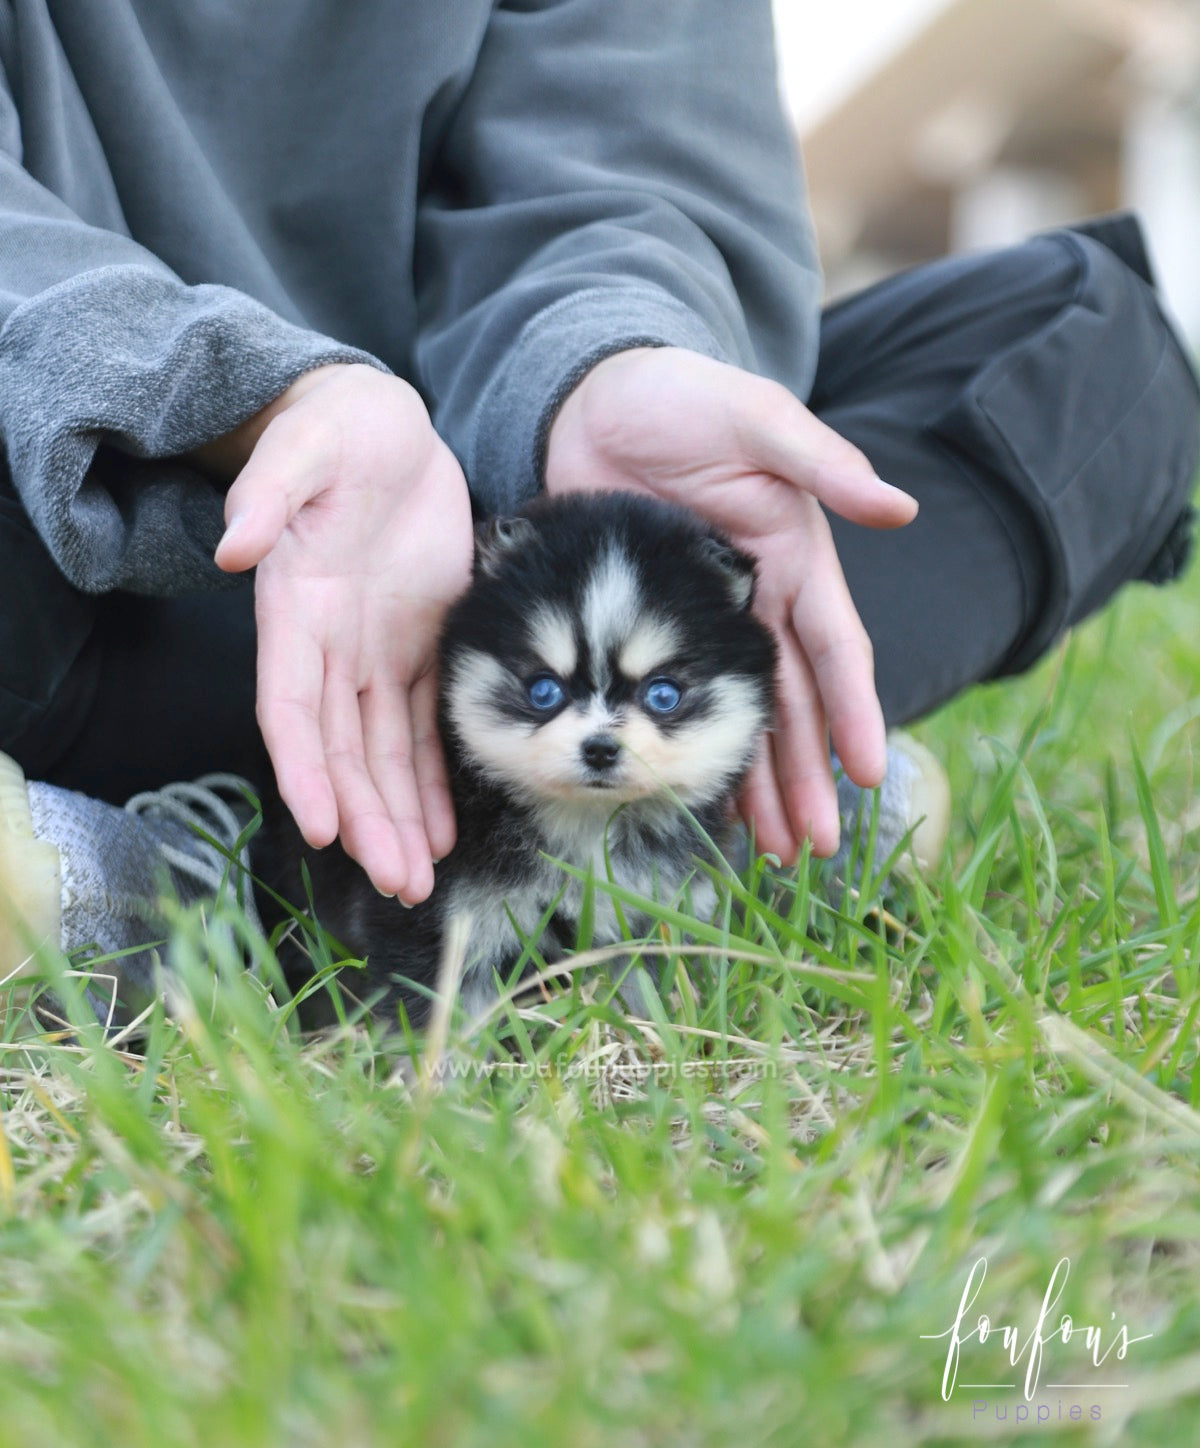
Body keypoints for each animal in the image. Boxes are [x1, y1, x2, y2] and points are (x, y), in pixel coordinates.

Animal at [257, 492, 770, 1025]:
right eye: (544, 690)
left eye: (663, 695)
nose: (600, 748)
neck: (586, 823)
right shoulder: (441, 918)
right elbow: (434, 1007)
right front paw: (437, 1051)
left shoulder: (652, 911)